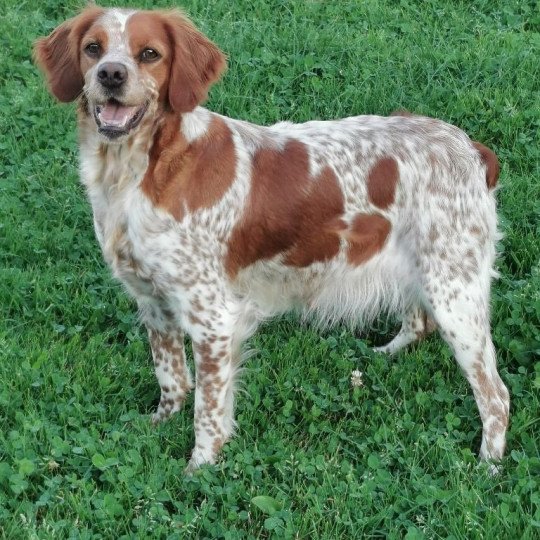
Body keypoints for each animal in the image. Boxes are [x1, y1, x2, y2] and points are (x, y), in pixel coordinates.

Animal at [34, 6, 510, 470]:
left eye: (149, 53)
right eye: (94, 48)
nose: (111, 75)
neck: (140, 170)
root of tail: (471, 148)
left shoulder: (213, 319)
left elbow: (207, 408)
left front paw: (198, 469)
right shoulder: (153, 302)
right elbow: (171, 378)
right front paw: (158, 425)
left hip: (455, 293)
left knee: (497, 395)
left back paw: (487, 465)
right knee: (417, 323)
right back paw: (383, 355)